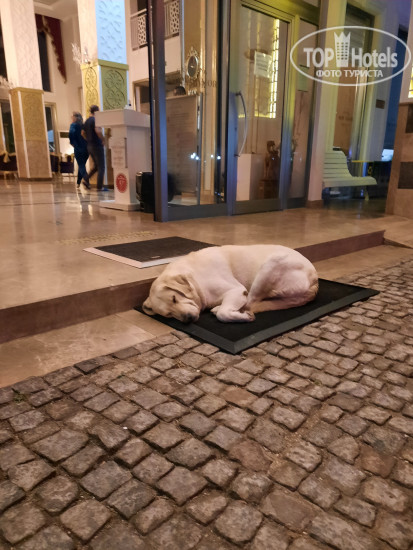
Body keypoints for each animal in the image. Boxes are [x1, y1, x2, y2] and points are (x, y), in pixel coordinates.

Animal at [142, 245, 318, 323]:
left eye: (174, 298)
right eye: (168, 314)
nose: (188, 318)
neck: (194, 278)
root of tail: (315, 280)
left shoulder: (236, 290)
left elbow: (224, 313)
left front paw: (238, 315)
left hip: (269, 266)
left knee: (250, 301)